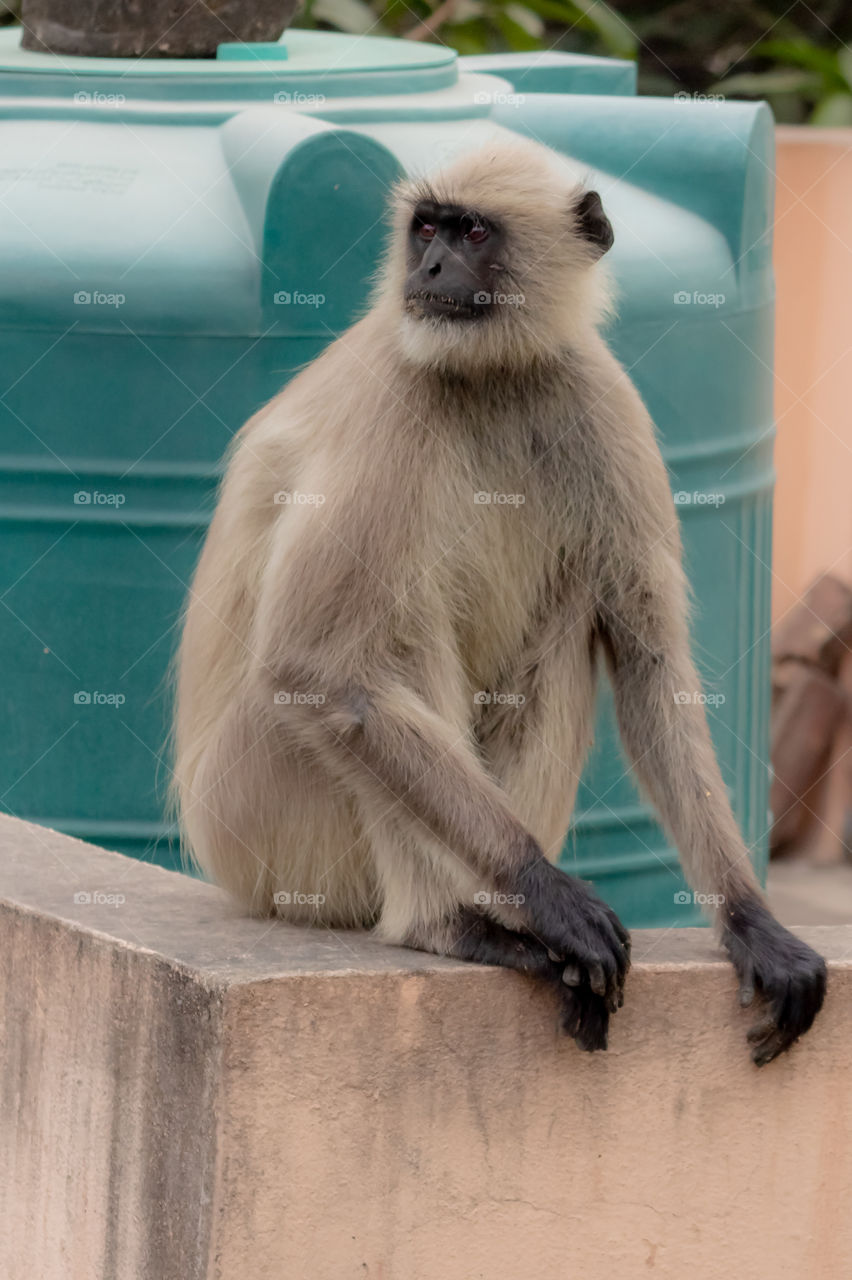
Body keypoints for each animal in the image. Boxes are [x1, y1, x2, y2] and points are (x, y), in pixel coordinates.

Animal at [173, 135, 826, 1064]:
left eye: (472, 232)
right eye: (426, 229)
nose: (431, 267)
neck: (493, 373)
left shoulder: (602, 397)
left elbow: (649, 663)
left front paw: (751, 922)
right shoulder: (392, 394)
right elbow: (315, 668)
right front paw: (548, 892)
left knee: (570, 620)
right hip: (255, 823)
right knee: (386, 639)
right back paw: (449, 923)